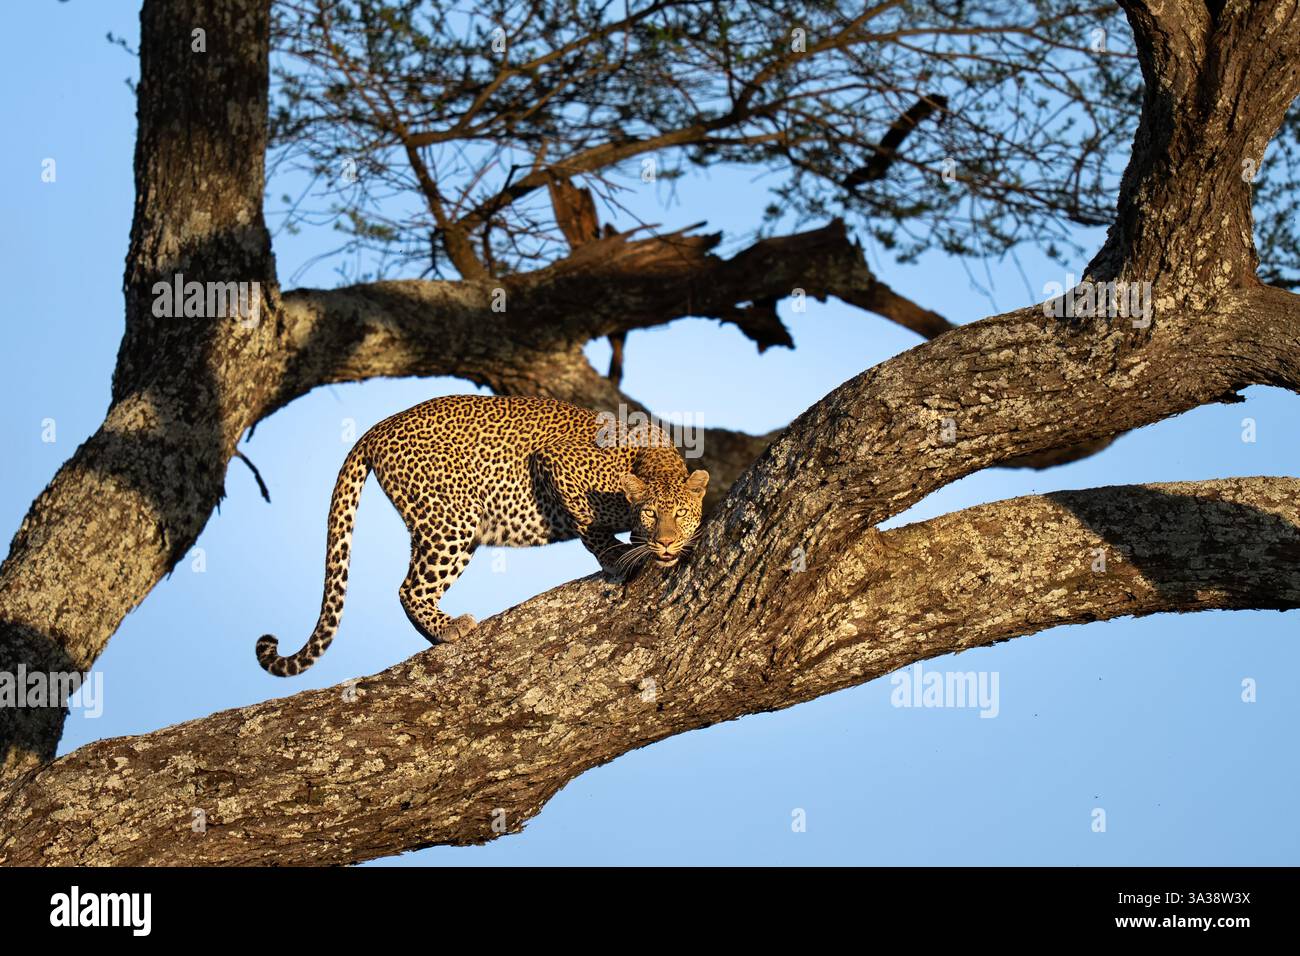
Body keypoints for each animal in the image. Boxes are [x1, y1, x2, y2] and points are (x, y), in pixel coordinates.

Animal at [255, 394, 708, 676]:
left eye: (681, 514)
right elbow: (589, 525)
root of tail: (378, 428)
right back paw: (449, 628)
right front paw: (614, 557)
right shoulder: (556, 461)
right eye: (650, 513)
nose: (666, 542)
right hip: (451, 520)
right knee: (408, 588)